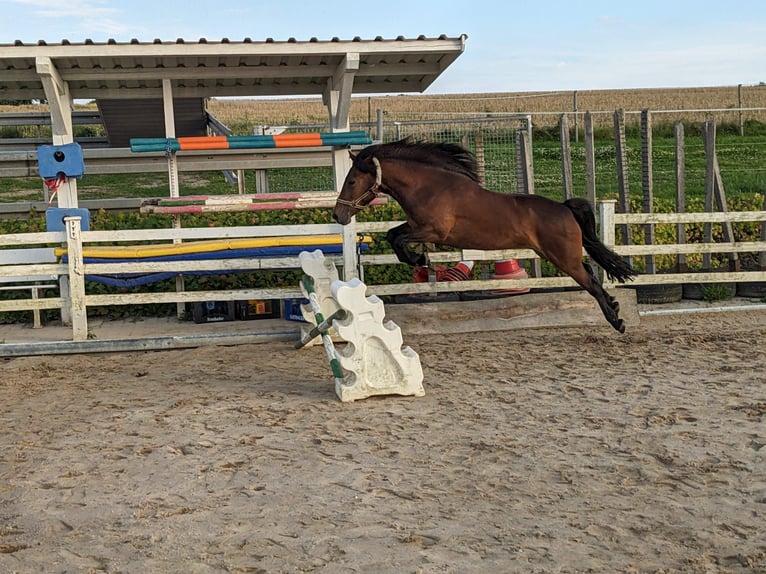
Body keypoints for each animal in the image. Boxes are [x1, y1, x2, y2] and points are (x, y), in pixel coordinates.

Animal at [332, 139, 637, 333]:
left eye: (352, 181)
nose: (338, 215)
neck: (429, 186)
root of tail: (565, 208)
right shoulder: (416, 225)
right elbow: (392, 235)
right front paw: (420, 260)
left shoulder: (434, 230)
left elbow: (397, 239)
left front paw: (419, 259)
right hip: (560, 256)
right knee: (591, 272)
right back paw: (614, 308)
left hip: (563, 258)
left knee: (591, 281)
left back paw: (617, 321)